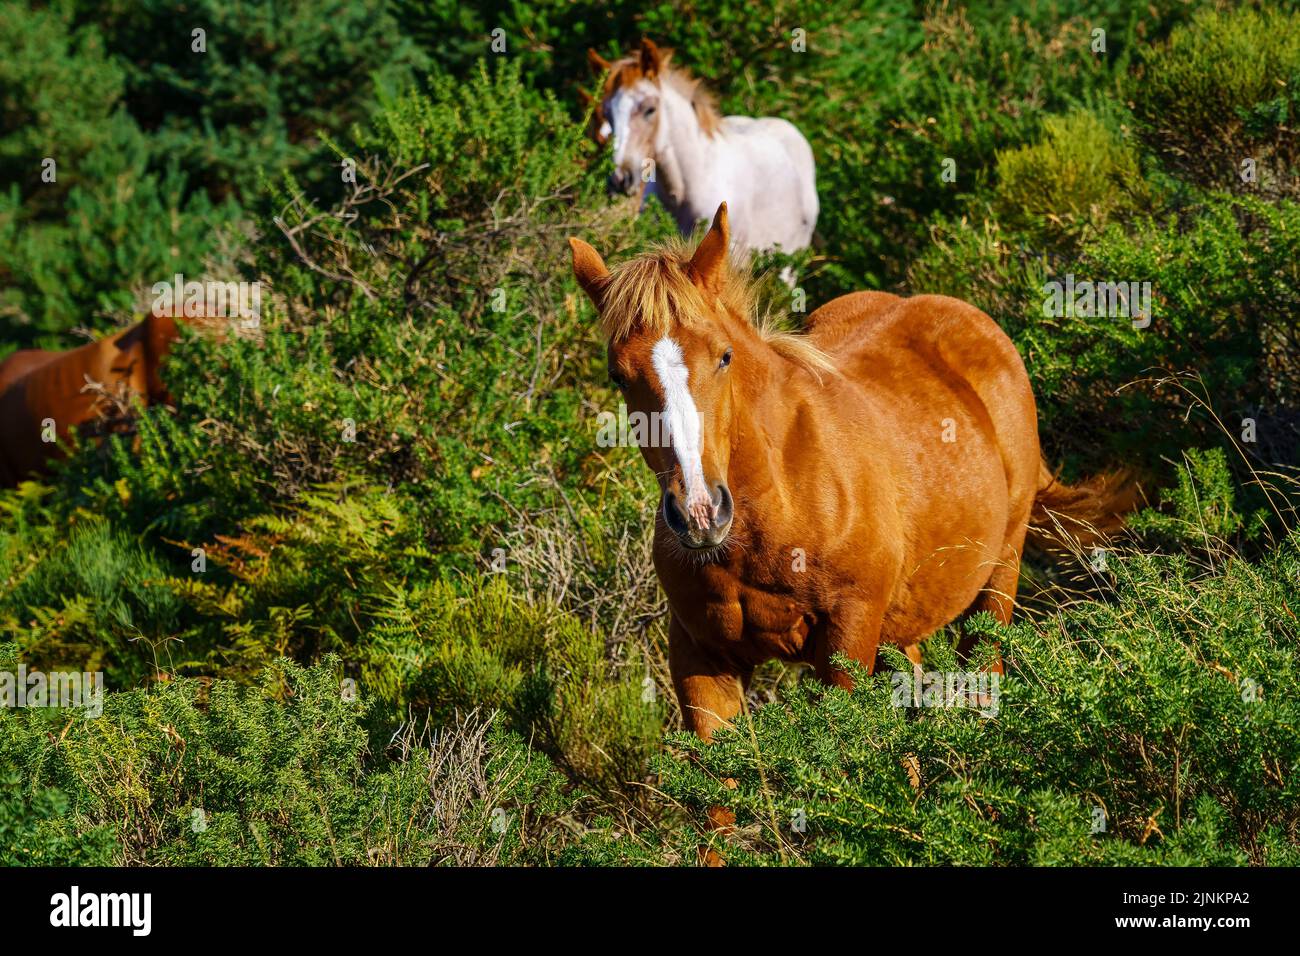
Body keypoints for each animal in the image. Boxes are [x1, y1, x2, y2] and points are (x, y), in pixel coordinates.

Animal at [569, 203, 1138, 740]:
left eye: (724, 357)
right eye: (618, 376)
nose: (700, 513)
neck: (780, 507)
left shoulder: (848, 639)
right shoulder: (700, 660)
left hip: (995, 583)